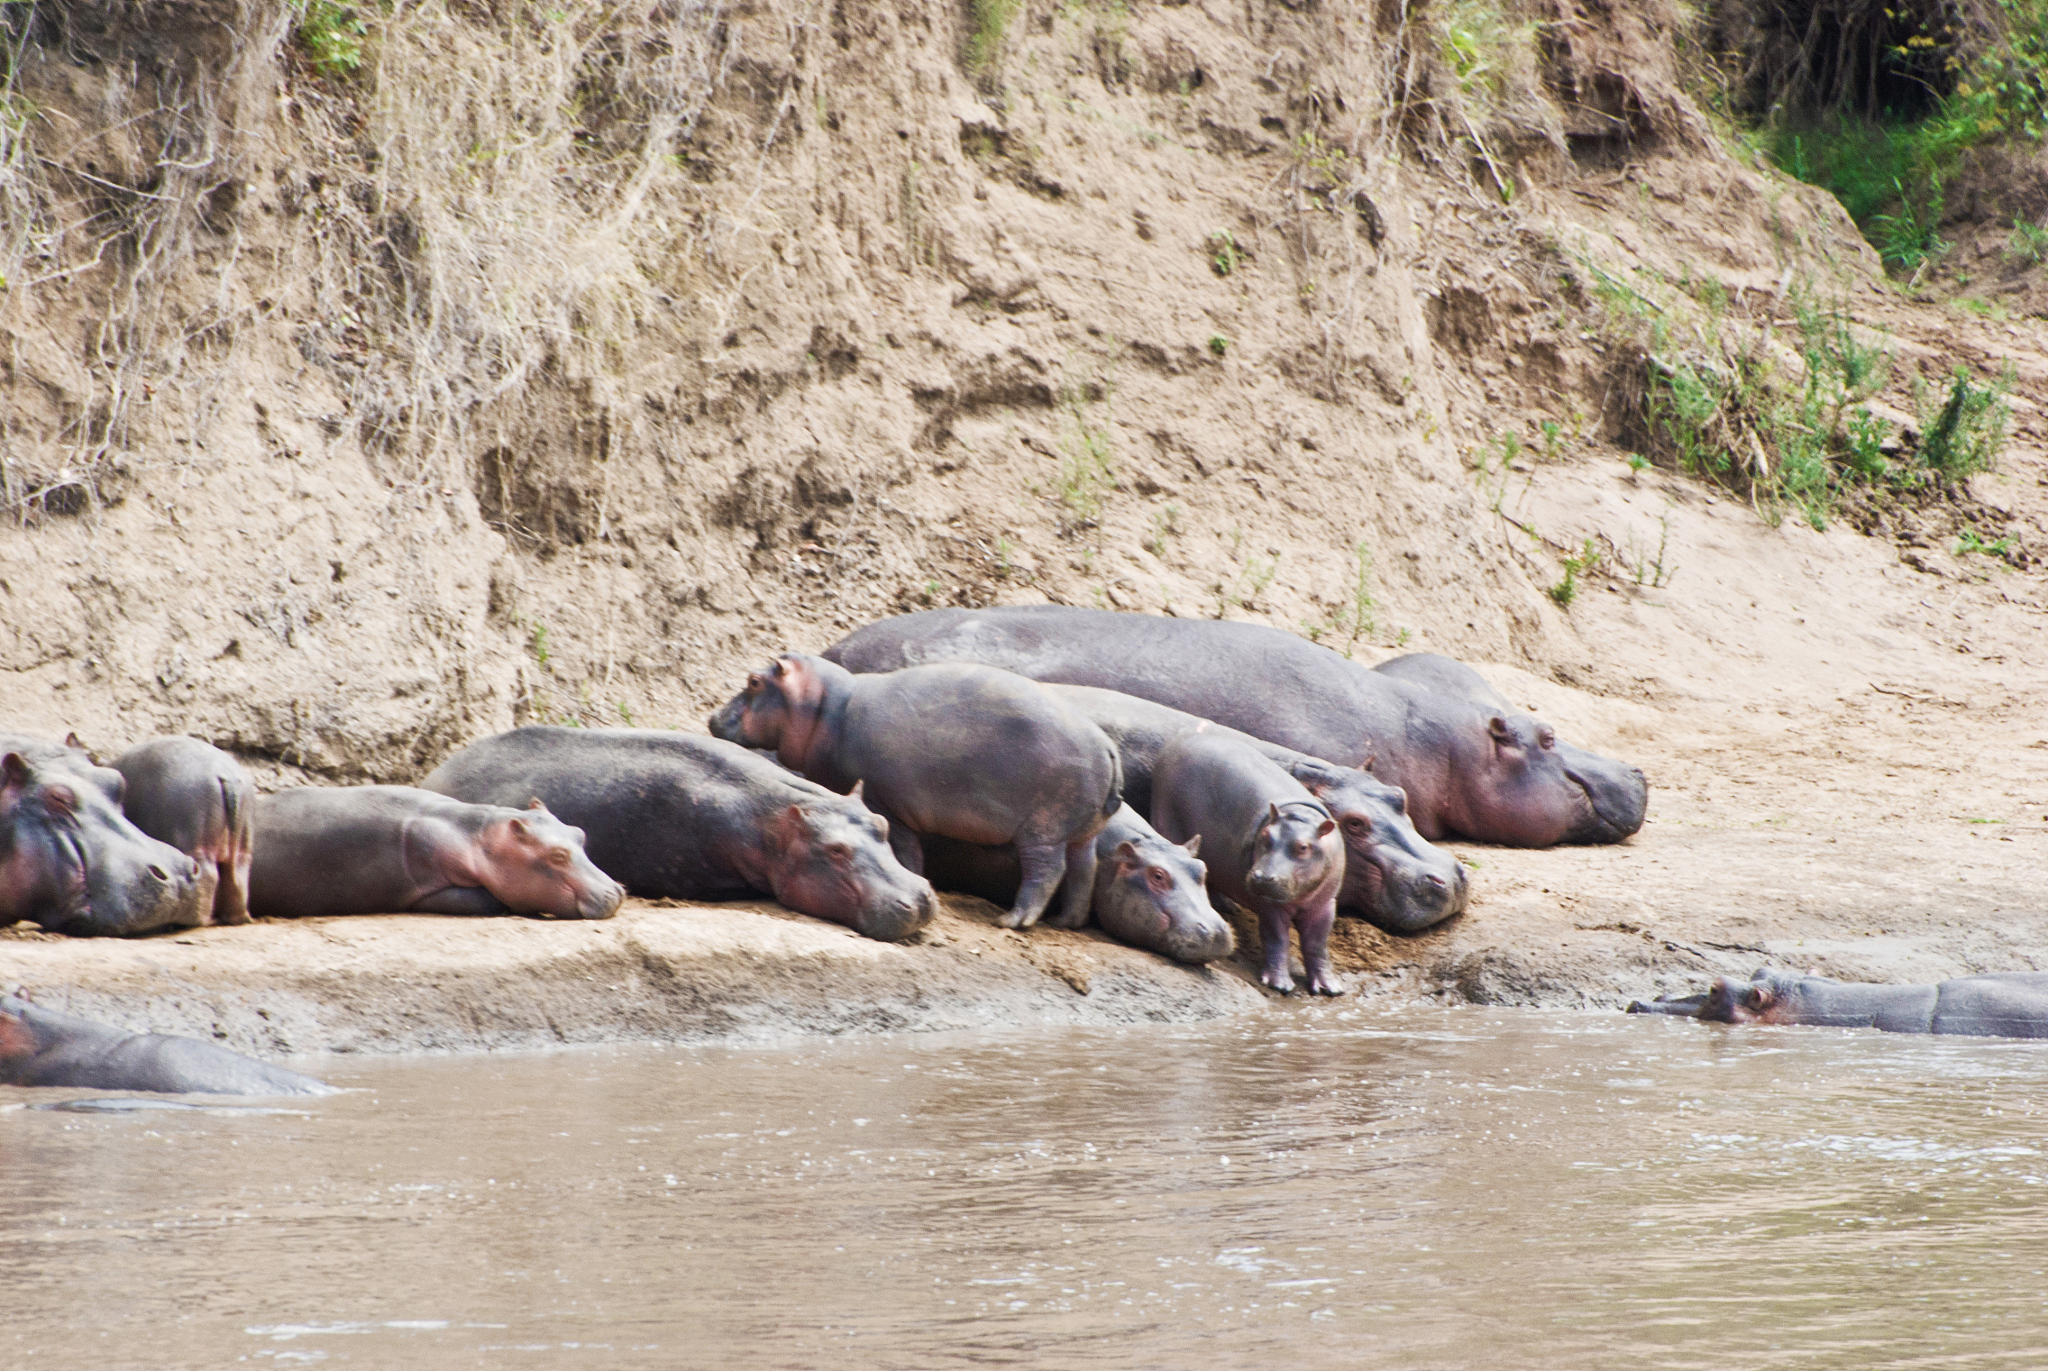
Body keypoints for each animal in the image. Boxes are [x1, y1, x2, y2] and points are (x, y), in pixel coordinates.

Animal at [110, 737, 255, 927]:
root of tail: (228, 776)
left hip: (196, 843)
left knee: (209, 875)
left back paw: (202, 920)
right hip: (242, 843)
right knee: (236, 876)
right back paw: (238, 918)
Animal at [709, 654, 1120, 931]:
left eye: (753, 681)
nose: (712, 718)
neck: (823, 708)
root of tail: (1107, 746)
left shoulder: (888, 806)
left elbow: (906, 852)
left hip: (1043, 829)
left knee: (1047, 871)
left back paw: (1012, 921)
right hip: (1084, 830)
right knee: (1084, 869)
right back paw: (1066, 922)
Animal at [1152, 731, 1345, 996]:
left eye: (1303, 847)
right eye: (1265, 836)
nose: (1262, 877)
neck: (1301, 817)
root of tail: (1180, 739)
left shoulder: (1325, 904)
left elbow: (1318, 944)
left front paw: (1331, 988)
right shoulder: (1270, 904)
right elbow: (1277, 938)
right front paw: (1279, 984)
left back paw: (1228, 906)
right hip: (1166, 819)